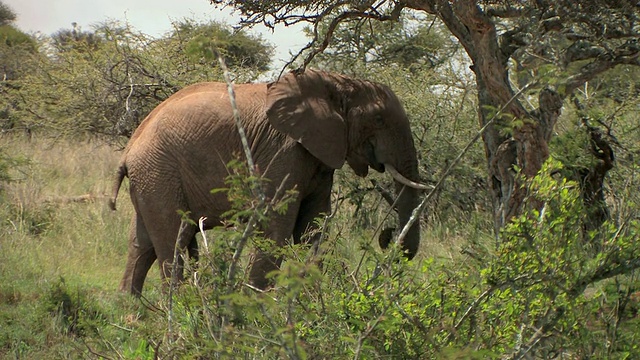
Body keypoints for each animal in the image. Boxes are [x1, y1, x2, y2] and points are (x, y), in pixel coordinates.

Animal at [110, 69, 424, 296]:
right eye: (379, 119)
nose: (387, 235)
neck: (334, 82)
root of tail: (128, 149)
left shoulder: (318, 156)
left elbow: (314, 227)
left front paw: (311, 305)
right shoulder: (283, 150)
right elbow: (276, 226)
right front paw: (253, 310)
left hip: (151, 177)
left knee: (141, 245)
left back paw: (133, 317)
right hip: (159, 172)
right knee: (174, 241)